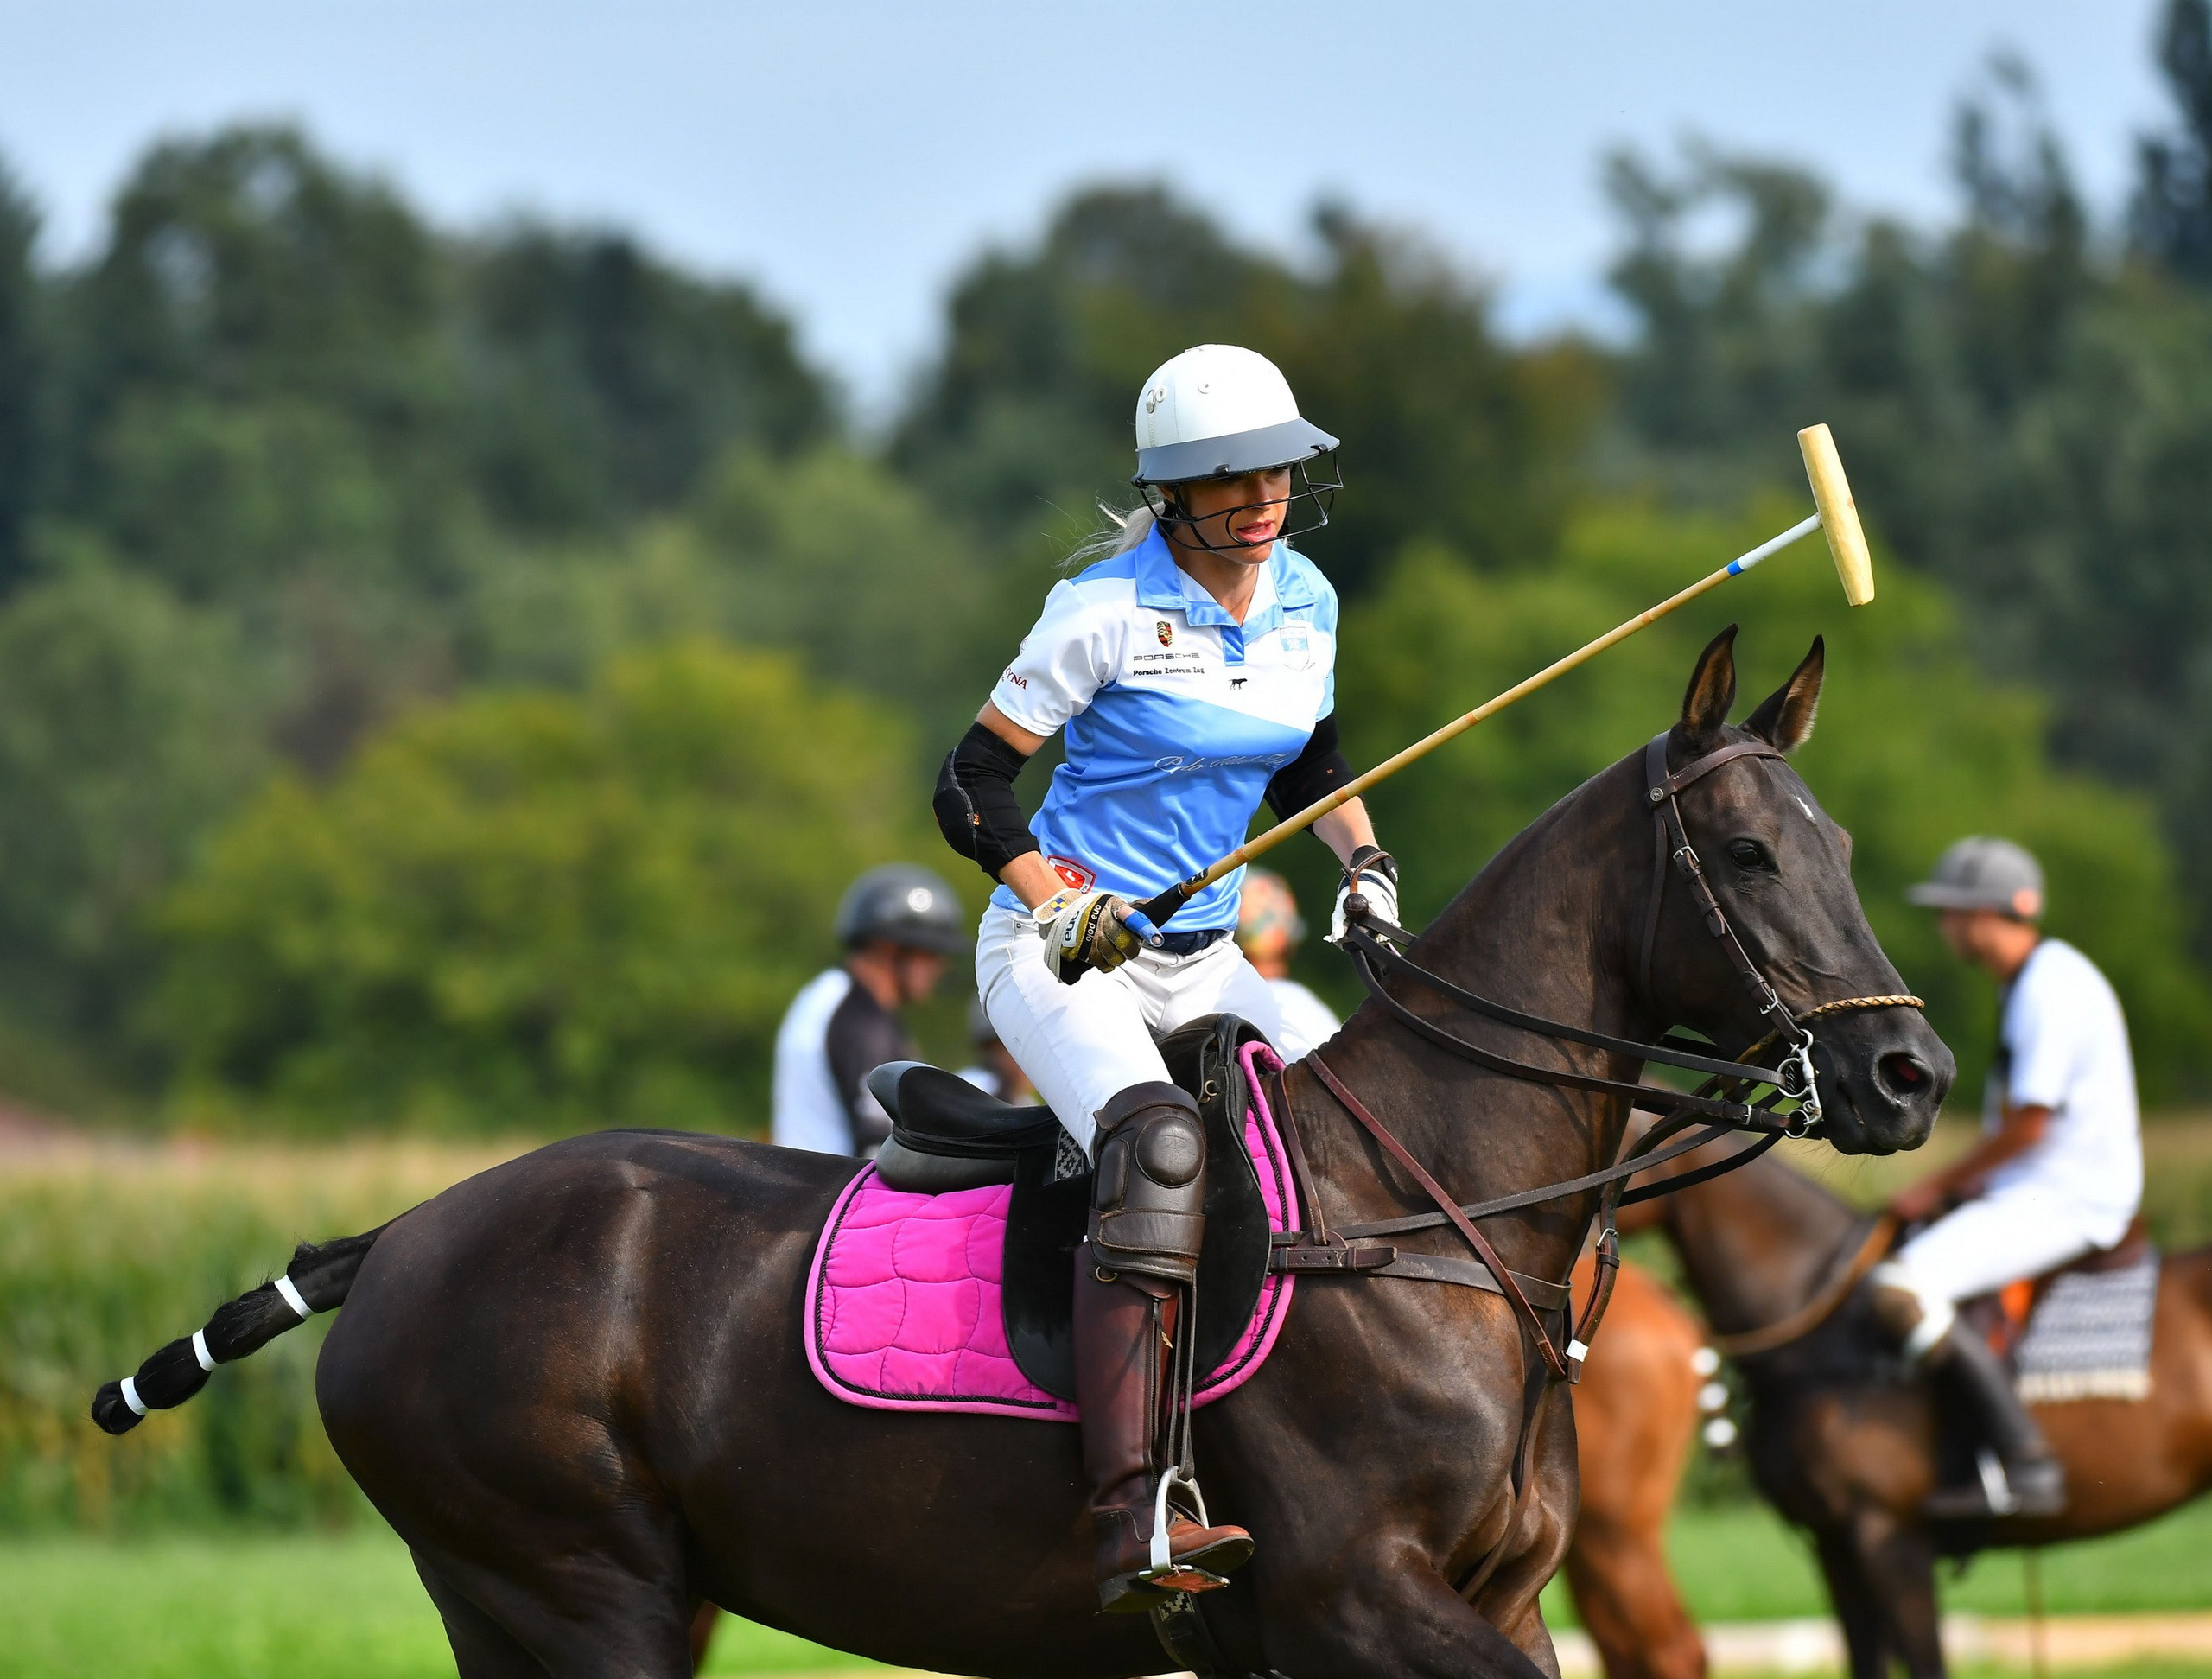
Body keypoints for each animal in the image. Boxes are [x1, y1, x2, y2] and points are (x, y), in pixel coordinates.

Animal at [92, 627, 1949, 1679]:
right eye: (1744, 852)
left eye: (1846, 844)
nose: (1910, 1070)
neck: (1426, 1211)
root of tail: (399, 1237)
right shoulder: (1357, 1597)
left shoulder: (1486, 1603)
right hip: (566, 1583)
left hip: (587, 1598)